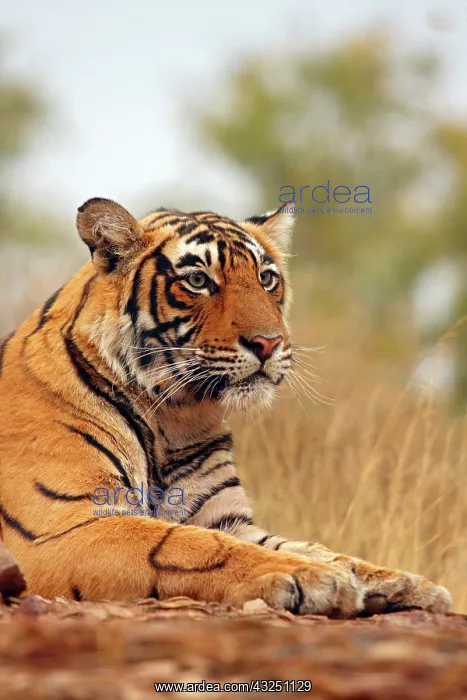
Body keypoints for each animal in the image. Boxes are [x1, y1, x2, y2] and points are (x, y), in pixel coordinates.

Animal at [0, 197, 451, 615]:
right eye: (199, 280)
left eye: (266, 279)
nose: (269, 343)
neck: (172, 417)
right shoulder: (64, 525)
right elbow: (191, 547)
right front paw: (316, 578)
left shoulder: (225, 517)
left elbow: (312, 546)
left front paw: (409, 584)